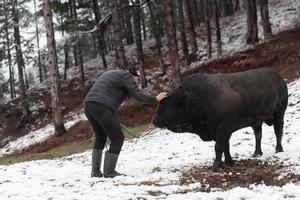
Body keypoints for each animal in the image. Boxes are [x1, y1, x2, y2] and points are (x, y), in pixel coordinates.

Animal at [154, 67, 290, 169]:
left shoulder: (223, 127)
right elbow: (226, 146)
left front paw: (217, 165)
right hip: (256, 121)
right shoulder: (221, 130)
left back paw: (278, 149)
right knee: (258, 134)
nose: (155, 121)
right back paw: (257, 153)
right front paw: (229, 162)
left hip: (280, 112)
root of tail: (279, 77)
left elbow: (219, 146)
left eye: (169, 104)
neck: (196, 98)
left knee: (278, 130)